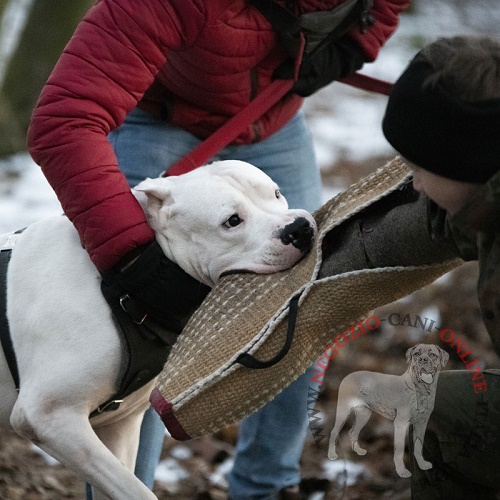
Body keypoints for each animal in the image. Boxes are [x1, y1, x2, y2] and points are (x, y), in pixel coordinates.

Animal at [0, 161, 314, 500]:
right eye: (232, 221)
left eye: (276, 192)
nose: (299, 227)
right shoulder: (45, 416)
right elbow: (136, 490)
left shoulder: (117, 425)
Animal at [328, 344, 450, 476]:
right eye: (416, 354)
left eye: (432, 354)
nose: (422, 359)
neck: (421, 390)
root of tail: (348, 375)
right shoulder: (400, 423)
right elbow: (399, 450)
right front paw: (402, 471)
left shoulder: (421, 422)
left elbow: (418, 445)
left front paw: (422, 464)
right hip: (343, 410)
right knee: (334, 431)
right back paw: (332, 455)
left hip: (364, 414)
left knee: (353, 431)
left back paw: (359, 450)